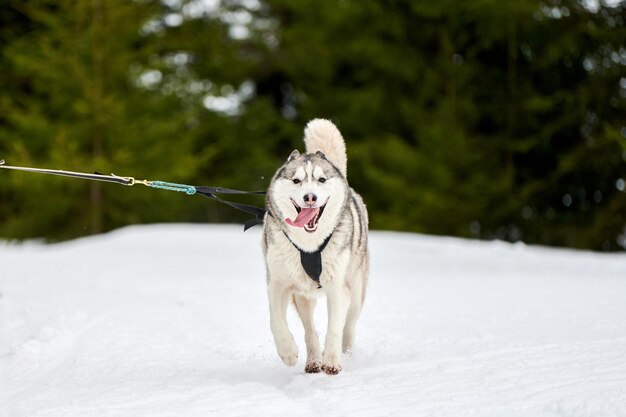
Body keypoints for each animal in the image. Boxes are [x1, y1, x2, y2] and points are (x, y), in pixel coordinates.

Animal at [260, 118, 368, 376]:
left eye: (321, 180)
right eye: (296, 180)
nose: (310, 197)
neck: (309, 247)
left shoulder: (338, 288)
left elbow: (335, 328)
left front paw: (332, 361)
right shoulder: (277, 283)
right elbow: (275, 320)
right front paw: (288, 352)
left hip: (356, 292)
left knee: (348, 327)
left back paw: (345, 355)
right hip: (302, 296)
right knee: (309, 330)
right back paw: (312, 361)